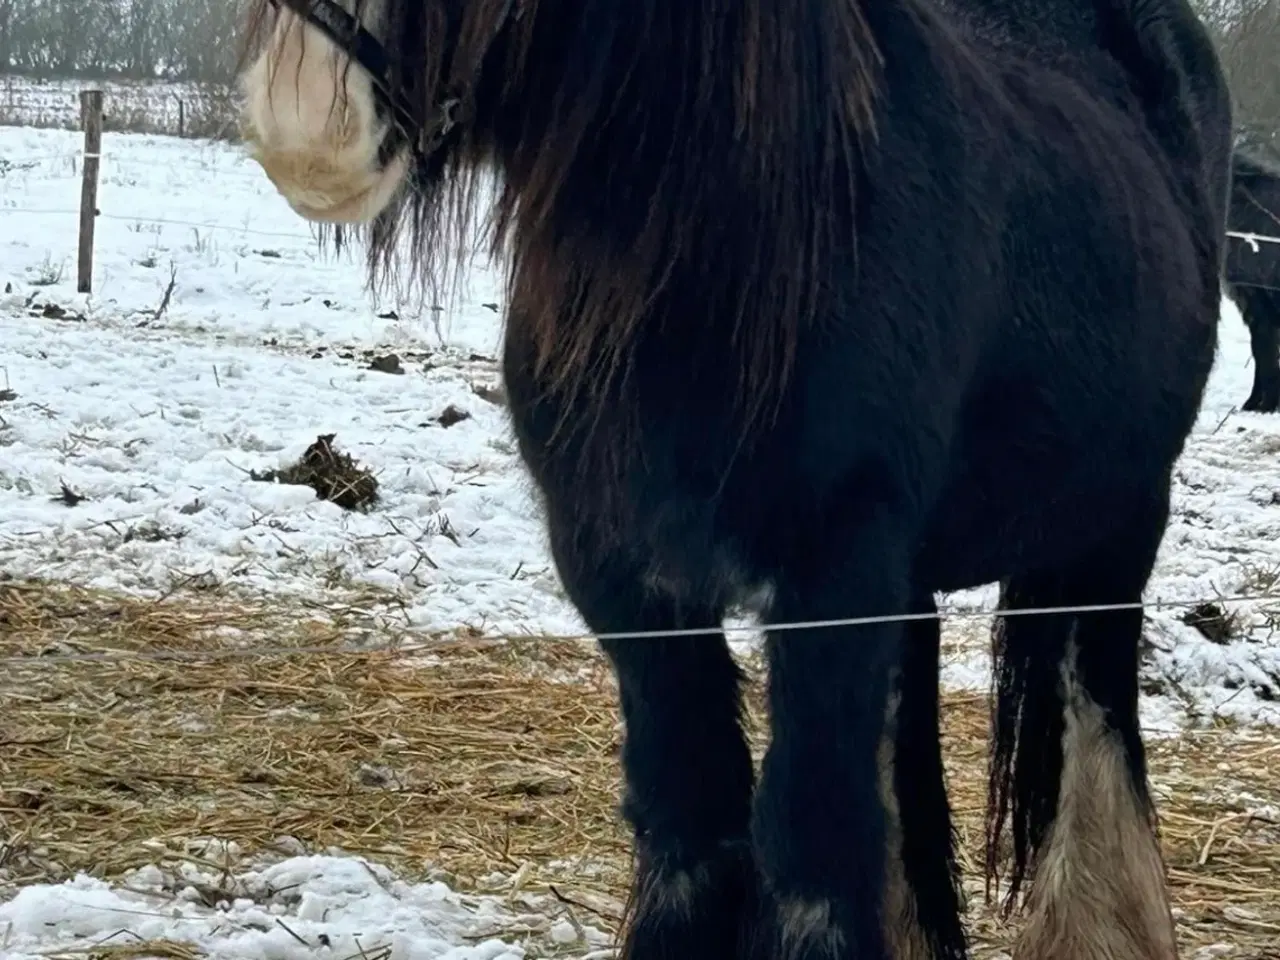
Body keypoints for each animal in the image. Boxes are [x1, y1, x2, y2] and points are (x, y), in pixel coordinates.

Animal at [238, 0, 1228, 957]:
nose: (307, 127)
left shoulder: (835, 569)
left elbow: (809, 856)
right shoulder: (621, 572)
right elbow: (693, 825)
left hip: (1115, 525)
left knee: (1094, 718)